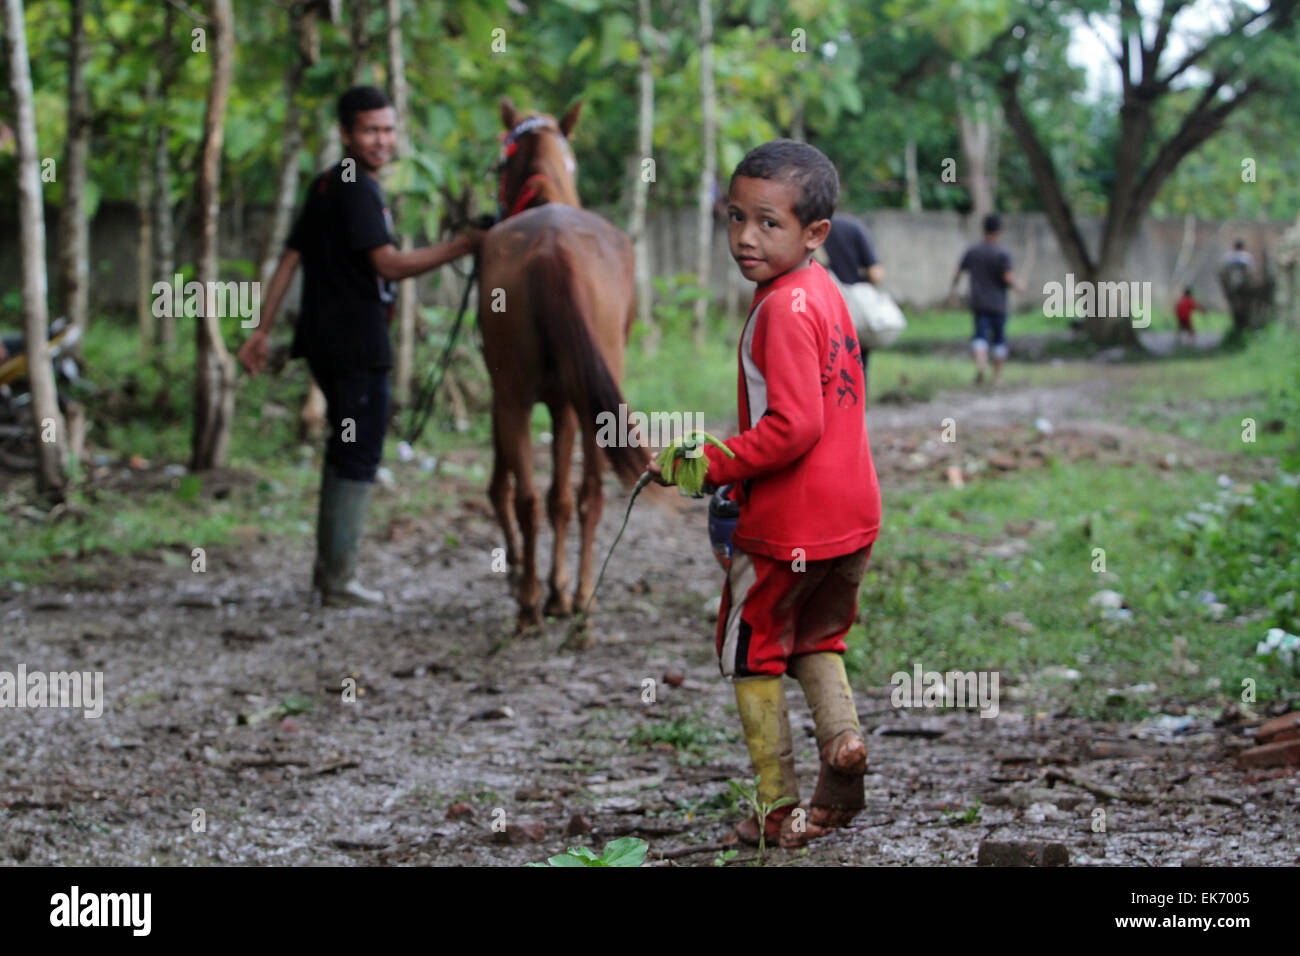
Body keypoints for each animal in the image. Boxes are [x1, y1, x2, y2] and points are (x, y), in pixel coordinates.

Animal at [480, 98, 647, 634]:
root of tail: (551, 245)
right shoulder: (564, 402)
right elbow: (560, 496)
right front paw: (555, 587)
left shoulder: (525, 399)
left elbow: (522, 490)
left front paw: (533, 578)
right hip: (588, 397)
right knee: (583, 493)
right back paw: (578, 598)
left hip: (524, 397)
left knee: (537, 497)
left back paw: (537, 601)